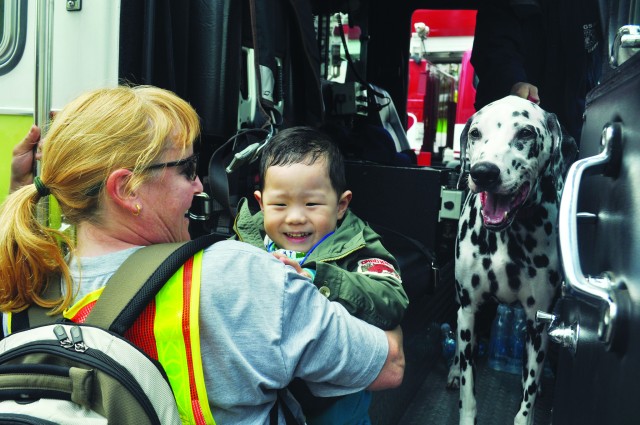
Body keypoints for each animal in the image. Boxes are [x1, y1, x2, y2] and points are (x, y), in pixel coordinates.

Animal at [448, 96, 576, 424]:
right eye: (475, 133)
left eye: (526, 133)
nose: (483, 172)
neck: (509, 235)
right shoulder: (468, 310)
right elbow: (468, 386)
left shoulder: (538, 324)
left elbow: (526, 399)